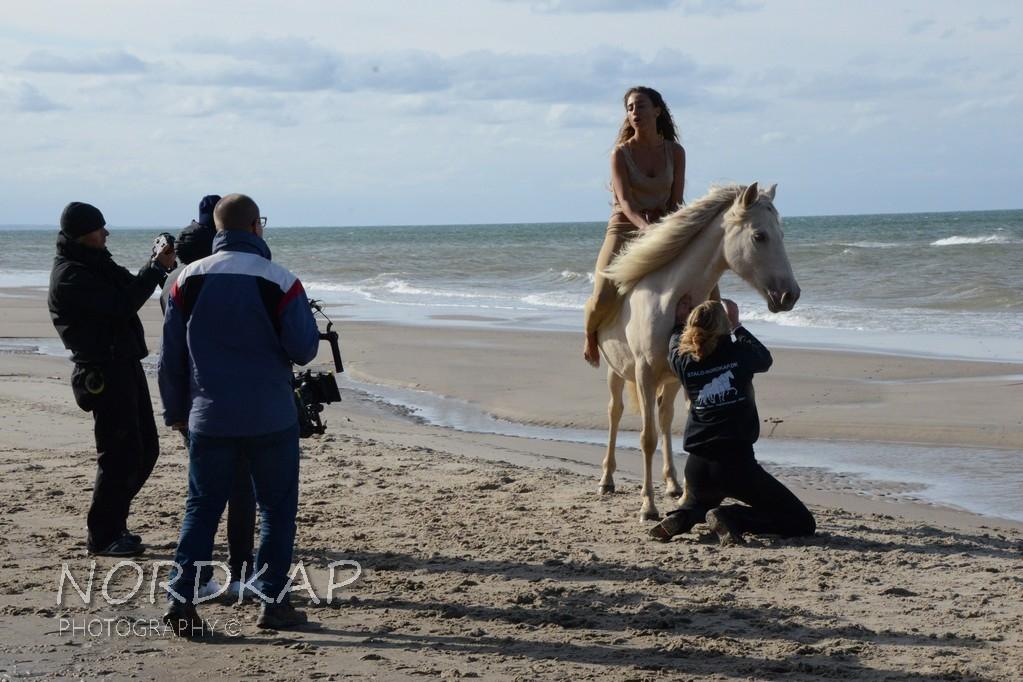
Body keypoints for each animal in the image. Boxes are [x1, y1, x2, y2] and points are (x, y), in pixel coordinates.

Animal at [597, 184, 797, 519]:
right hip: (616, 372)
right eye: (759, 236)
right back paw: (607, 480)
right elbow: (647, 438)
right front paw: (648, 506)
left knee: (665, 417)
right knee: (614, 413)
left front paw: (686, 498)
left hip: (670, 382)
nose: (790, 295)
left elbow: (689, 434)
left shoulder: (686, 376)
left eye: (782, 233)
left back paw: (673, 484)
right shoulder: (644, 374)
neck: (670, 296)